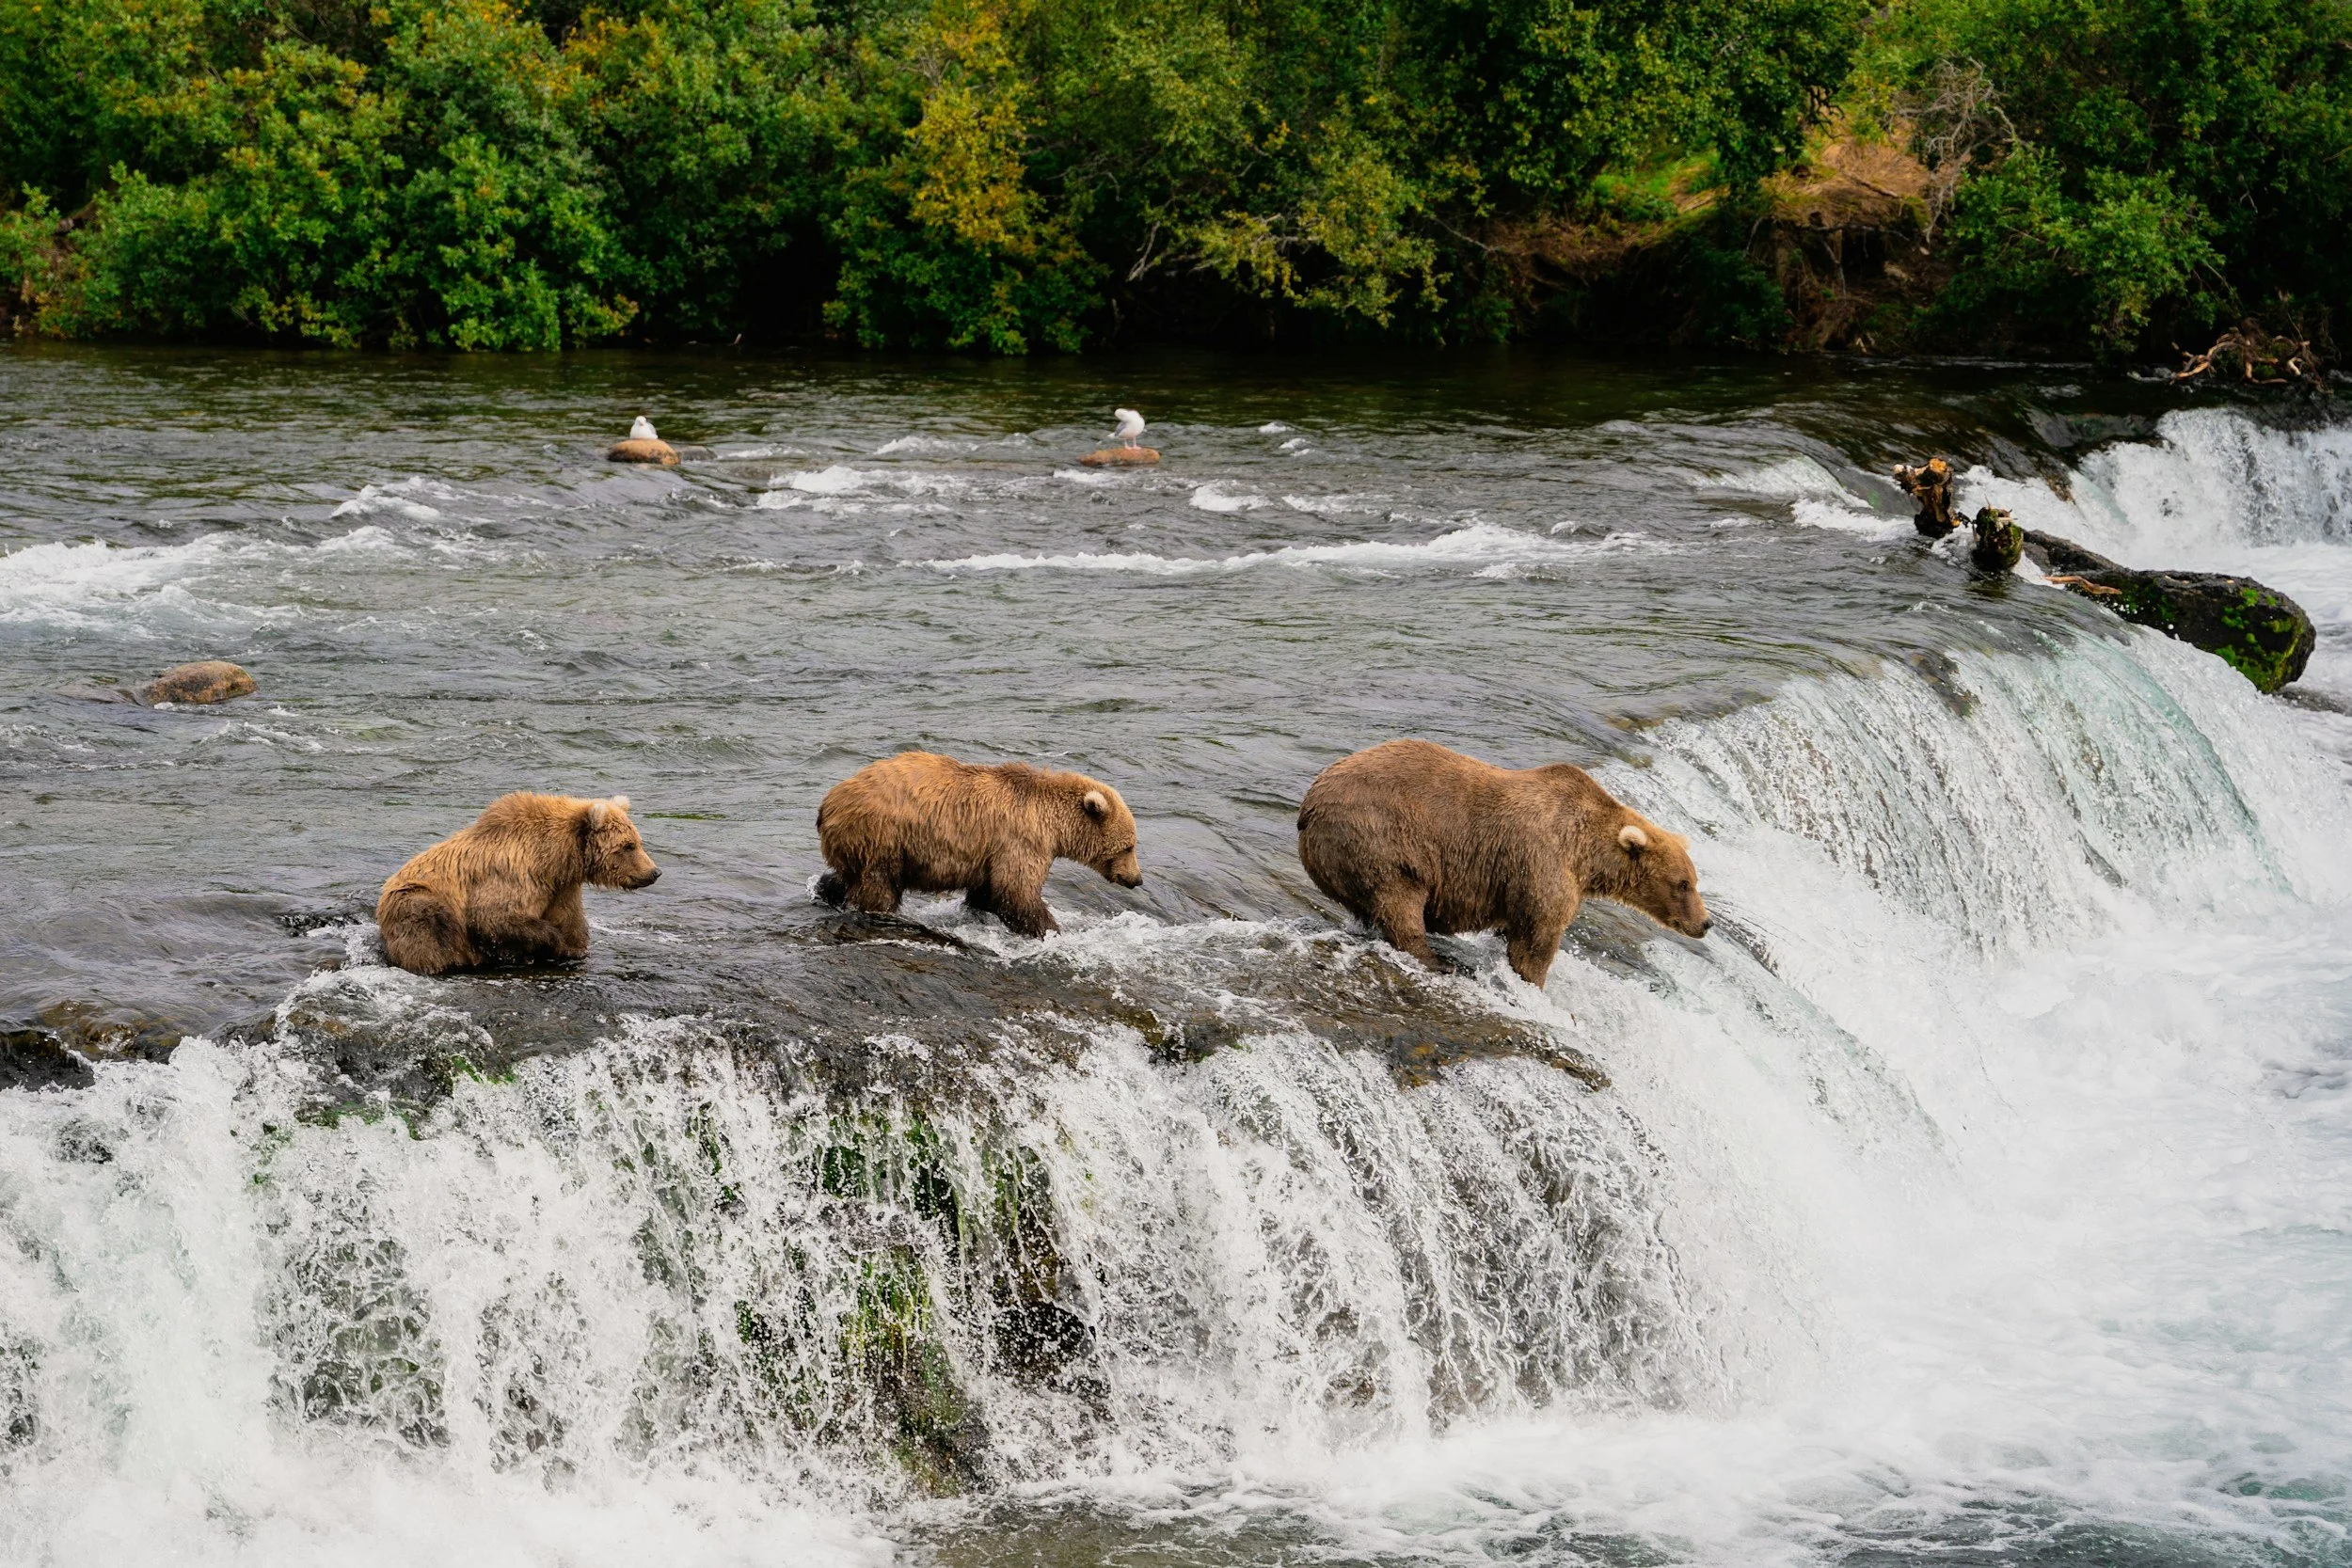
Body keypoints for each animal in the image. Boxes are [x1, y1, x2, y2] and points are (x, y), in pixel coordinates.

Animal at [376, 793, 660, 975]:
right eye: (628, 846)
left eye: (638, 841)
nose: (654, 872)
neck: (555, 858)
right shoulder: (514, 873)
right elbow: (493, 916)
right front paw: (550, 942)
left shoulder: (562, 887)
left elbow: (571, 923)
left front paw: (571, 949)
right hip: (416, 899)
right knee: (428, 927)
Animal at [814, 752, 1142, 937]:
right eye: (1129, 846)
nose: (1136, 879)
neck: (1053, 824)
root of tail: (829, 802)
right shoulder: (1021, 841)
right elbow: (1017, 892)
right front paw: (1051, 930)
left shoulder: (991, 853)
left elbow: (988, 892)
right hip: (883, 836)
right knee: (879, 886)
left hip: (857, 843)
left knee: (847, 876)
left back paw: (826, 890)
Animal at [1296, 739, 1709, 987]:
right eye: (1682, 883)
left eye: (1693, 880)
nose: (1705, 923)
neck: (1587, 856)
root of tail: (1308, 805)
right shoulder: (1542, 862)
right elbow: (1537, 937)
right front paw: (1534, 983)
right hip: (1382, 837)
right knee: (1399, 899)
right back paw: (1436, 960)